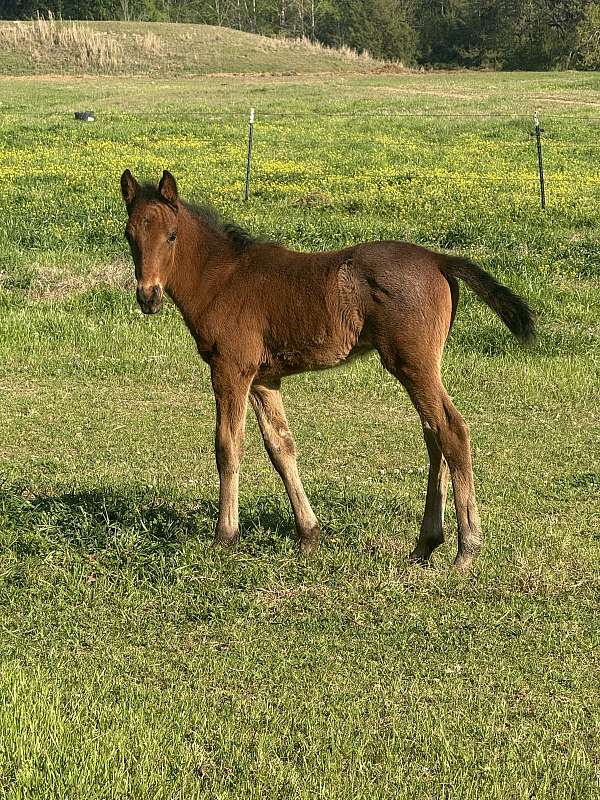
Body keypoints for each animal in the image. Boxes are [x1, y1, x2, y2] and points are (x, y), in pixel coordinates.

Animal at [120, 169, 536, 573]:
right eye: (129, 235)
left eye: (172, 236)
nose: (148, 296)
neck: (220, 278)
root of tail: (437, 259)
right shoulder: (264, 379)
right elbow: (281, 447)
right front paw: (308, 535)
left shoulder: (231, 369)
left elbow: (228, 447)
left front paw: (225, 536)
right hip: (419, 366)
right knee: (434, 436)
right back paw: (424, 546)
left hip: (411, 361)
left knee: (451, 431)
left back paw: (466, 550)